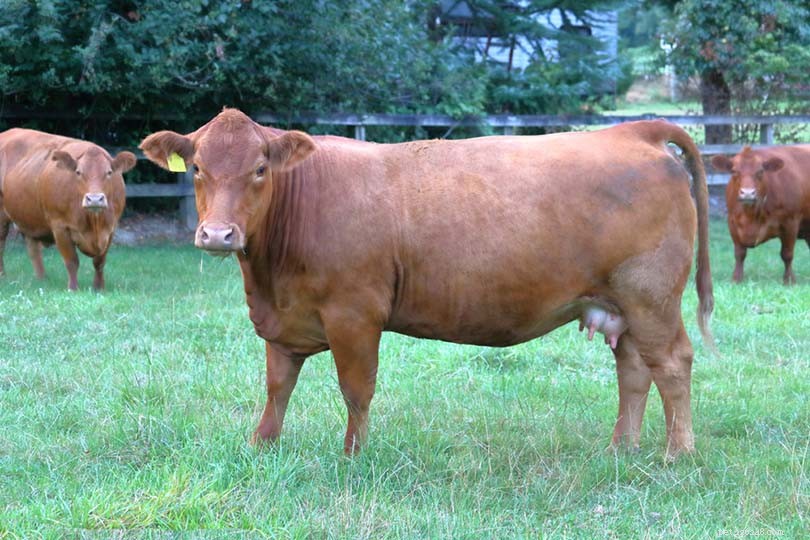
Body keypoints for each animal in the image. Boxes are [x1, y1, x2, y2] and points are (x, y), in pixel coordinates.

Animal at [0, 128, 135, 290]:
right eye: (78, 172)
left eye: (109, 172)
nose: (95, 199)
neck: (94, 223)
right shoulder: (60, 227)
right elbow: (72, 261)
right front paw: (73, 288)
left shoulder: (111, 229)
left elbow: (99, 262)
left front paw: (99, 288)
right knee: (1, 244)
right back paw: (3, 275)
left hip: (28, 216)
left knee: (33, 248)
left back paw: (42, 279)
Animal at [140, 109, 714, 459]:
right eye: (196, 167)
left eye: (261, 168)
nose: (218, 233)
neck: (269, 277)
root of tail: (632, 130)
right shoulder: (284, 318)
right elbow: (278, 386)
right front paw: (261, 445)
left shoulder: (355, 314)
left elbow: (356, 388)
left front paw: (353, 455)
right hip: (622, 306)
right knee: (634, 370)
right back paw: (622, 448)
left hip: (652, 298)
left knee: (672, 364)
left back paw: (677, 453)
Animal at [711, 145, 810, 284]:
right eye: (734, 171)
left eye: (761, 171)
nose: (747, 193)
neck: (750, 215)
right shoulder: (732, 222)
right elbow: (739, 253)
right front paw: (736, 279)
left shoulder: (791, 222)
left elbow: (787, 254)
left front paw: (789, 280)